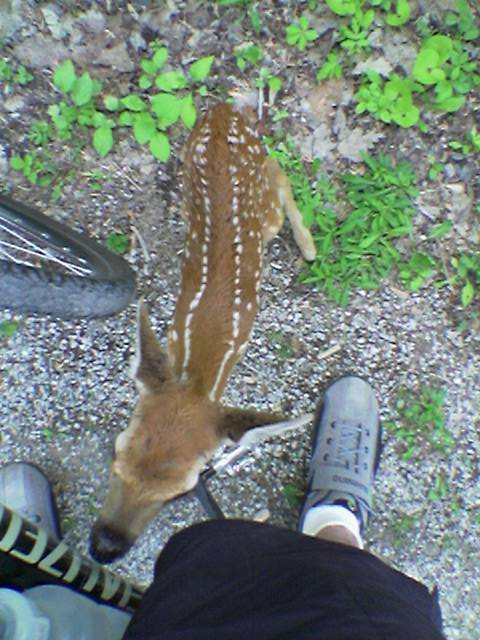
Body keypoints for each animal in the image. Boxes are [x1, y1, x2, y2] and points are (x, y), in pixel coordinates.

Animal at [90, 102, 316, 563]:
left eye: (181, 493)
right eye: (115, 453)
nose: (104, 546)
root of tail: (224, 110)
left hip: (260, 207)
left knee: (277, 171)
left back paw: (309, 247)